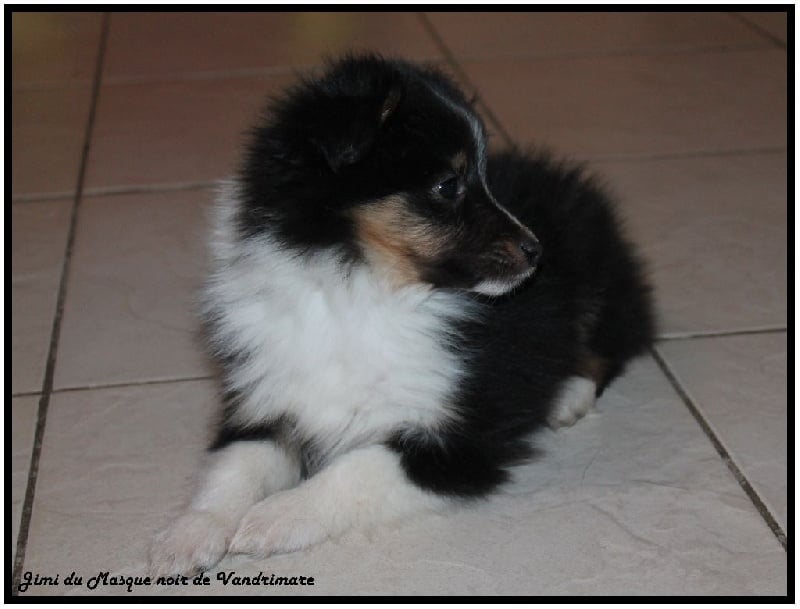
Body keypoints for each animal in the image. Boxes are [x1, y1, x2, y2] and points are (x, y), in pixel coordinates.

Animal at [149, 53, 654, 576]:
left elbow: (357, 468)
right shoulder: (267, 397)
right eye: (449, 184)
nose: (536, 251)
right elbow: (233, 466)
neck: (360, 292)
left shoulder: (459, 439)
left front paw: (273, 517)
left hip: (597, 278)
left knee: (610, 343)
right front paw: (186, 537)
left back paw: (566, 395)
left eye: (482, 176)